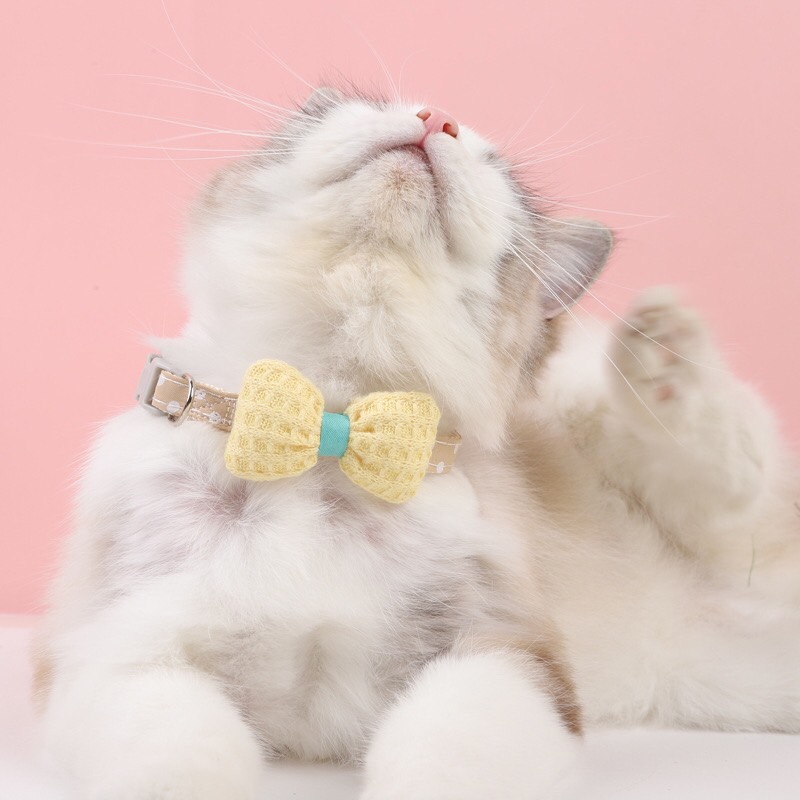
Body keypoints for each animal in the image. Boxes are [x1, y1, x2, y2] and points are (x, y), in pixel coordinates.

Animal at [33, 86, 800, 800]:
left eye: (495, 168)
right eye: (362, 104)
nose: (439, 119)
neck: (328, 431)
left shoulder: (503, 655)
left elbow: (439, 756)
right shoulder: (120, 657)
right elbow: (181, 762)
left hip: (622, 430)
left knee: (728, 481)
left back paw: (663, 350)